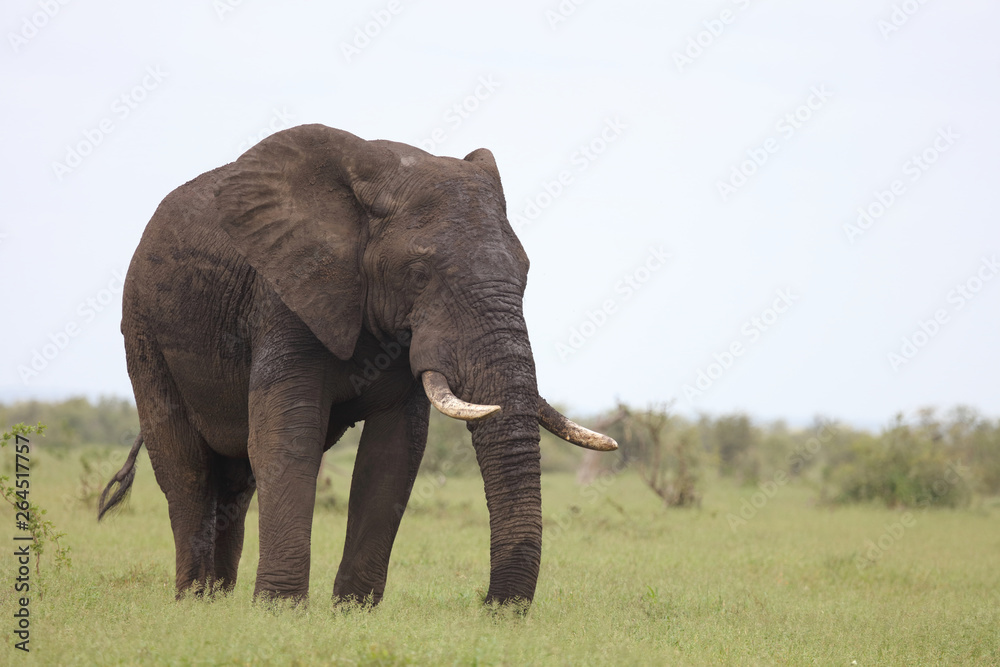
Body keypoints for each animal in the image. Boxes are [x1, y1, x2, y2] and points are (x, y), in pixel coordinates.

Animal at [98, 124, 617, 608]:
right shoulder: (287, 294)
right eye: (420, 273)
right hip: (143, 330)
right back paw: (194, 600)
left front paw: (352, 611)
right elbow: (288, 437)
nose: (492, 609)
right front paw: (280, 611)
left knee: (235, 479)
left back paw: (219, 600)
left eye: (525, 273)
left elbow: (394, 451)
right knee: (185, 469)